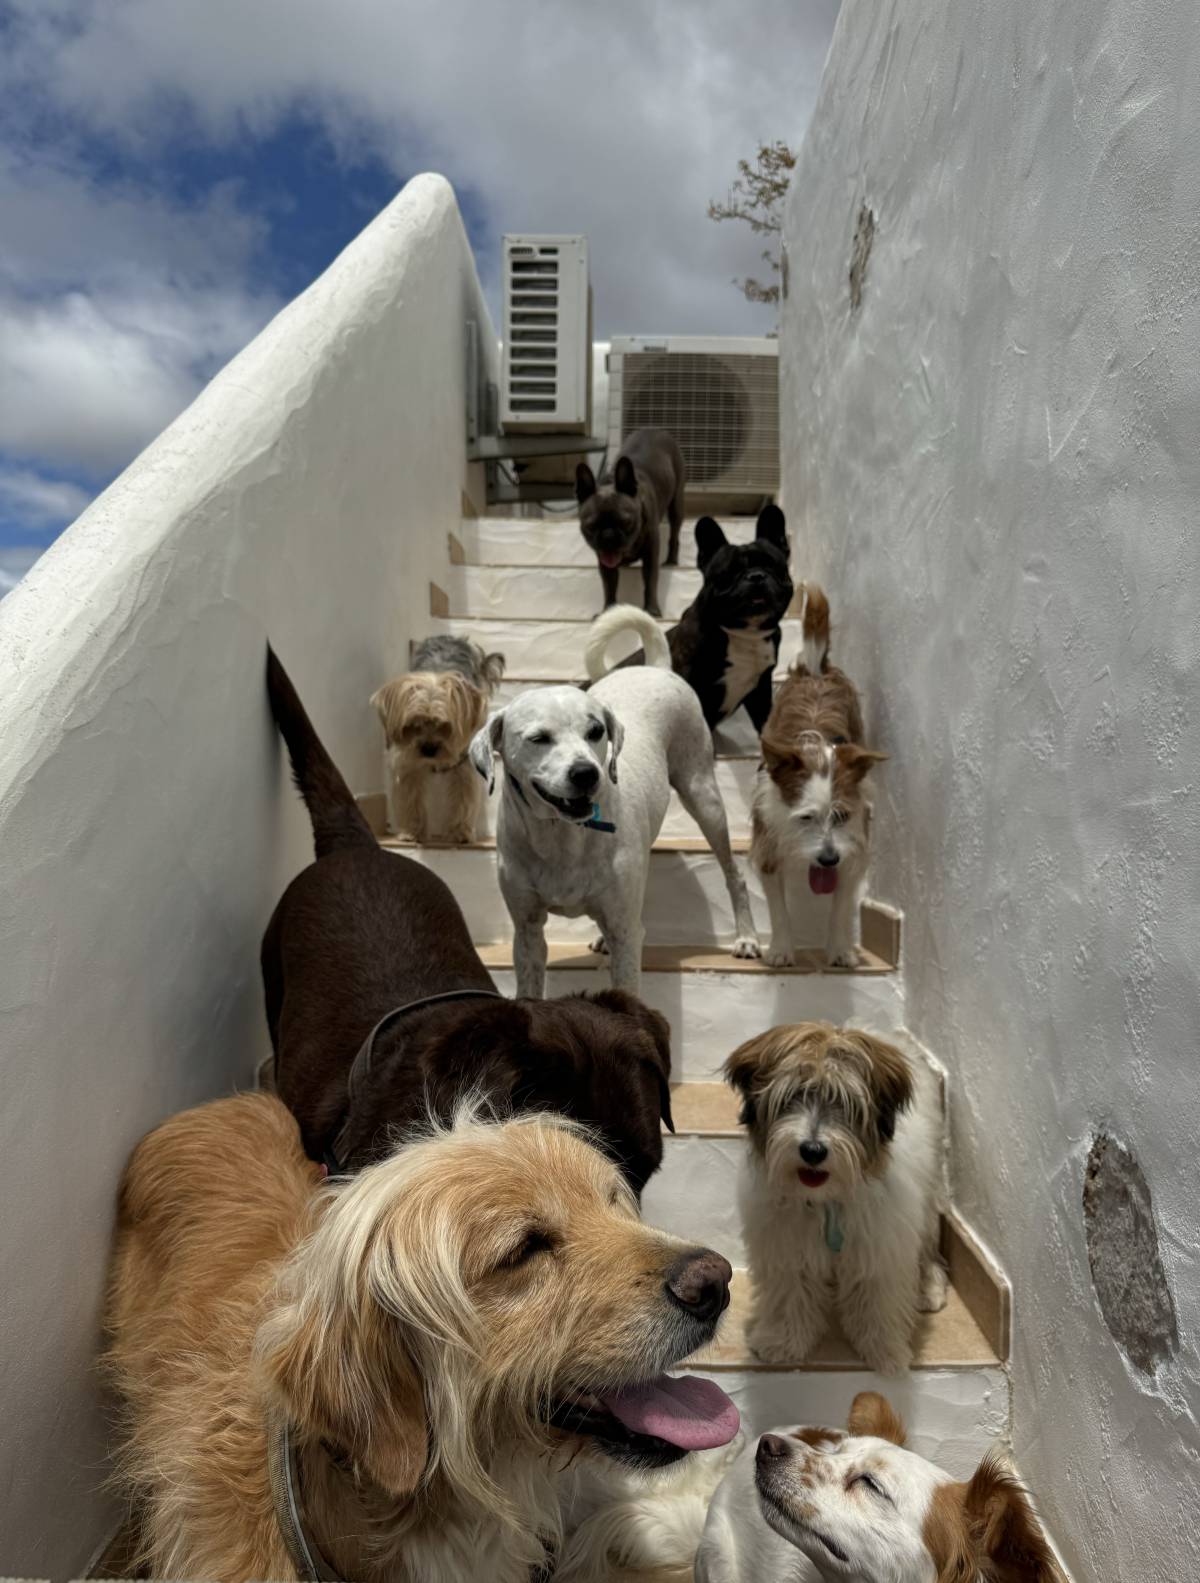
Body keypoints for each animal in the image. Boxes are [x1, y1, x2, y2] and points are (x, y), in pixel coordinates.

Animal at [372, 636, 503, 848]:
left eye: (445, 725)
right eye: (413, 724)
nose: (428, 749)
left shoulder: (463, 761)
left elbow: (463, 796)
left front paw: (461, 832)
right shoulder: (407, 761)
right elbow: (410, 796)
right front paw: (411, 831)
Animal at [471, 607, 759, 994]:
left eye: (596, 731)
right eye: (538, 738)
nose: (586, 774)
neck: (563, 838)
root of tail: (656, 667)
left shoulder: (627, 935)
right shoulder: (528, 931)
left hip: (704, 796)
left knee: (734, 873)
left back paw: (747, 938)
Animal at [725, 1025, 949, 1374]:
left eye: (844, 1103)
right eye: (790, 1097)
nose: (812, 1150)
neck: (825, 1198)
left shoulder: (882, 1246)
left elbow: (878, 1299)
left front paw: (885, 1351)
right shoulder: (786, 1246)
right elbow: (790, 1293)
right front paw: (782, 1343)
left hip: (927, 1202)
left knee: (929, 1248)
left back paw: (930, 1289)